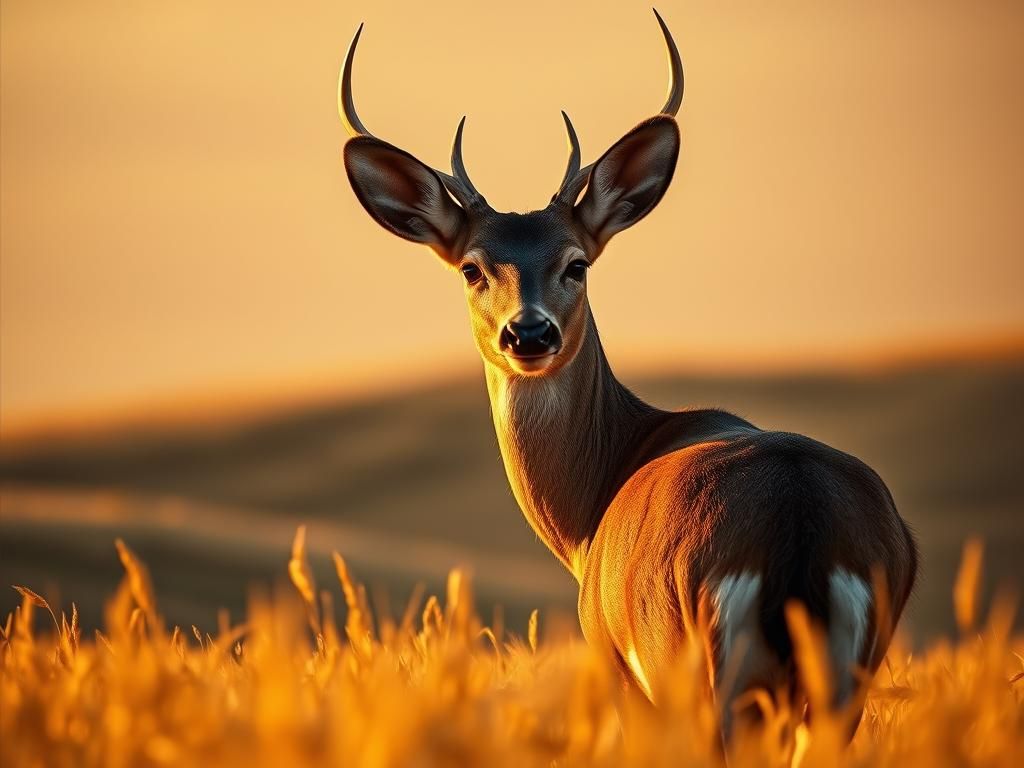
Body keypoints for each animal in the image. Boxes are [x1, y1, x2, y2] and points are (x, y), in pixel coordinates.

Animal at [338, 9, 918, 748]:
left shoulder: (613, 660)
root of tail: (799, 520)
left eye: (576, 263)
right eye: (472, 267)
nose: (529, 334)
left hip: (691, 666)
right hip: (839, 685)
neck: (588, 509)